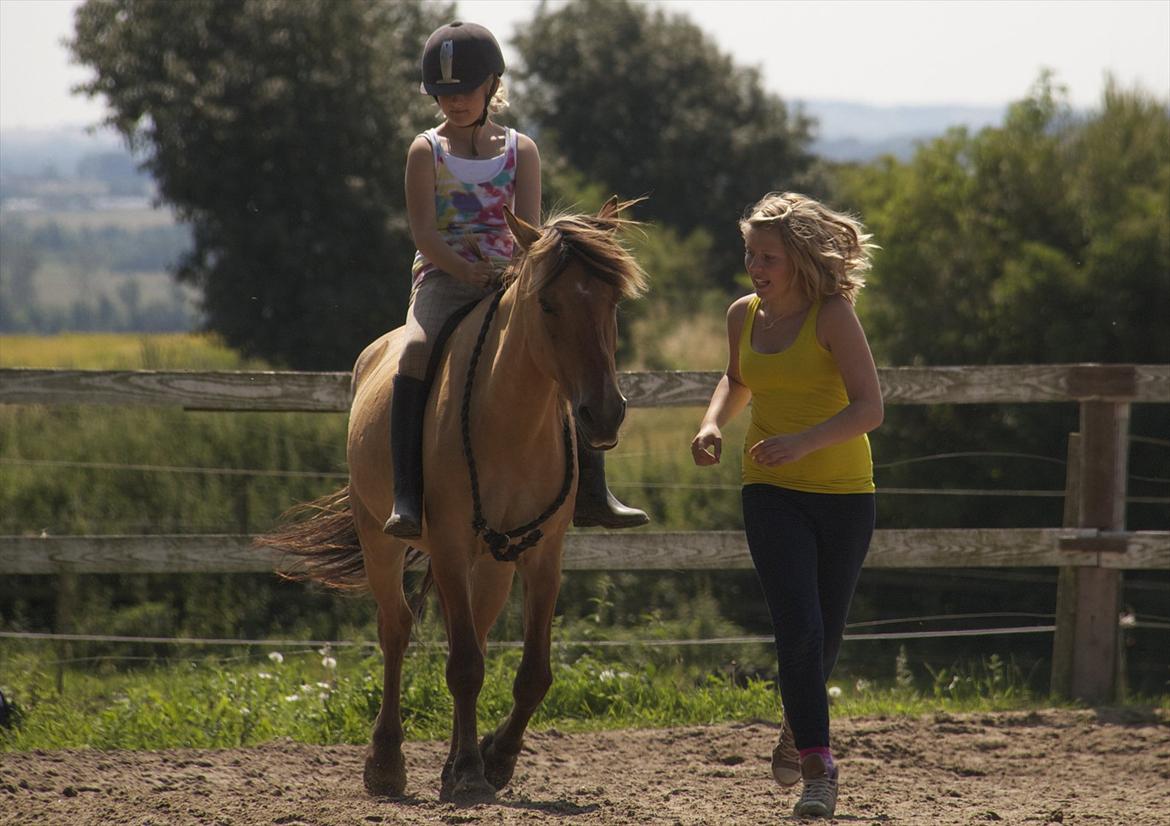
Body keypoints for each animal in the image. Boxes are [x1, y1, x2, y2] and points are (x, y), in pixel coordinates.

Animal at [252, 198, 650, 804]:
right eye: (547, 303)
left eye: (613, 302)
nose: (603, 415)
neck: (511, 422)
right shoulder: (447, 544)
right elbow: (463, 666)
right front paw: (467, 771)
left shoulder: (544, 557)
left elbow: (531, 673)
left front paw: (496, 758)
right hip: (382, 541)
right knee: (396, 629)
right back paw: (386, 762)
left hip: (492, 565)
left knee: (475, 635)